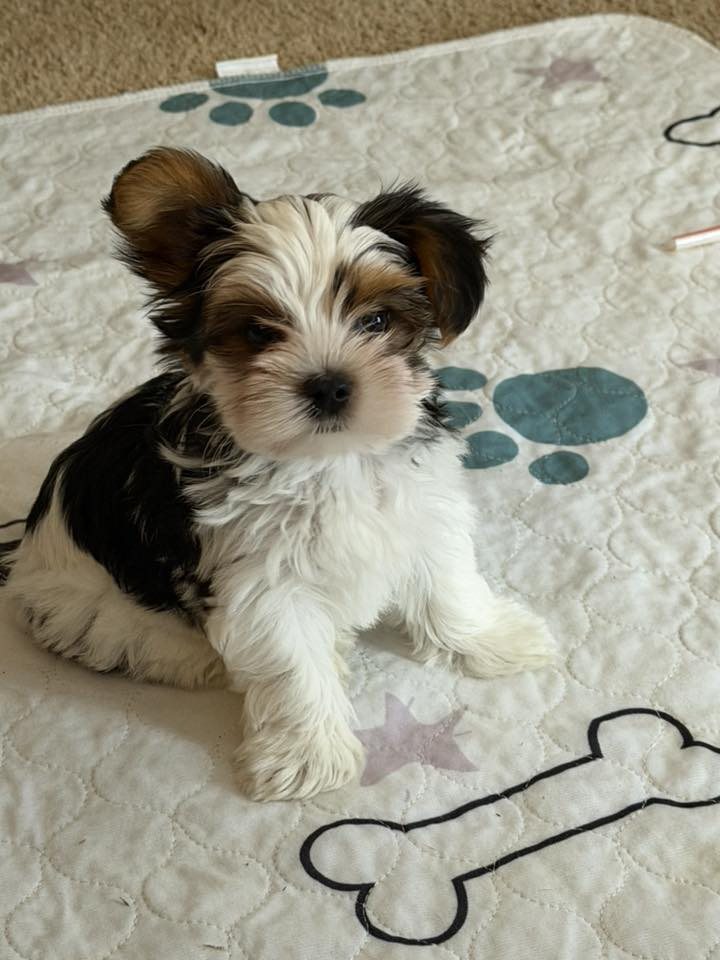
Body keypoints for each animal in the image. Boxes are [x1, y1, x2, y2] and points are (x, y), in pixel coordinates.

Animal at [4, 147, 553, 801]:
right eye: (257, 332)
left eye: (374, 321)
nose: (329, 384)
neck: (326, 458)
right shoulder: (257, 577)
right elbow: (290, 661)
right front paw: (308, 755)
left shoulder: (420, 508)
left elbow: (447, 583)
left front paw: (490, 640)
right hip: (91, 608)